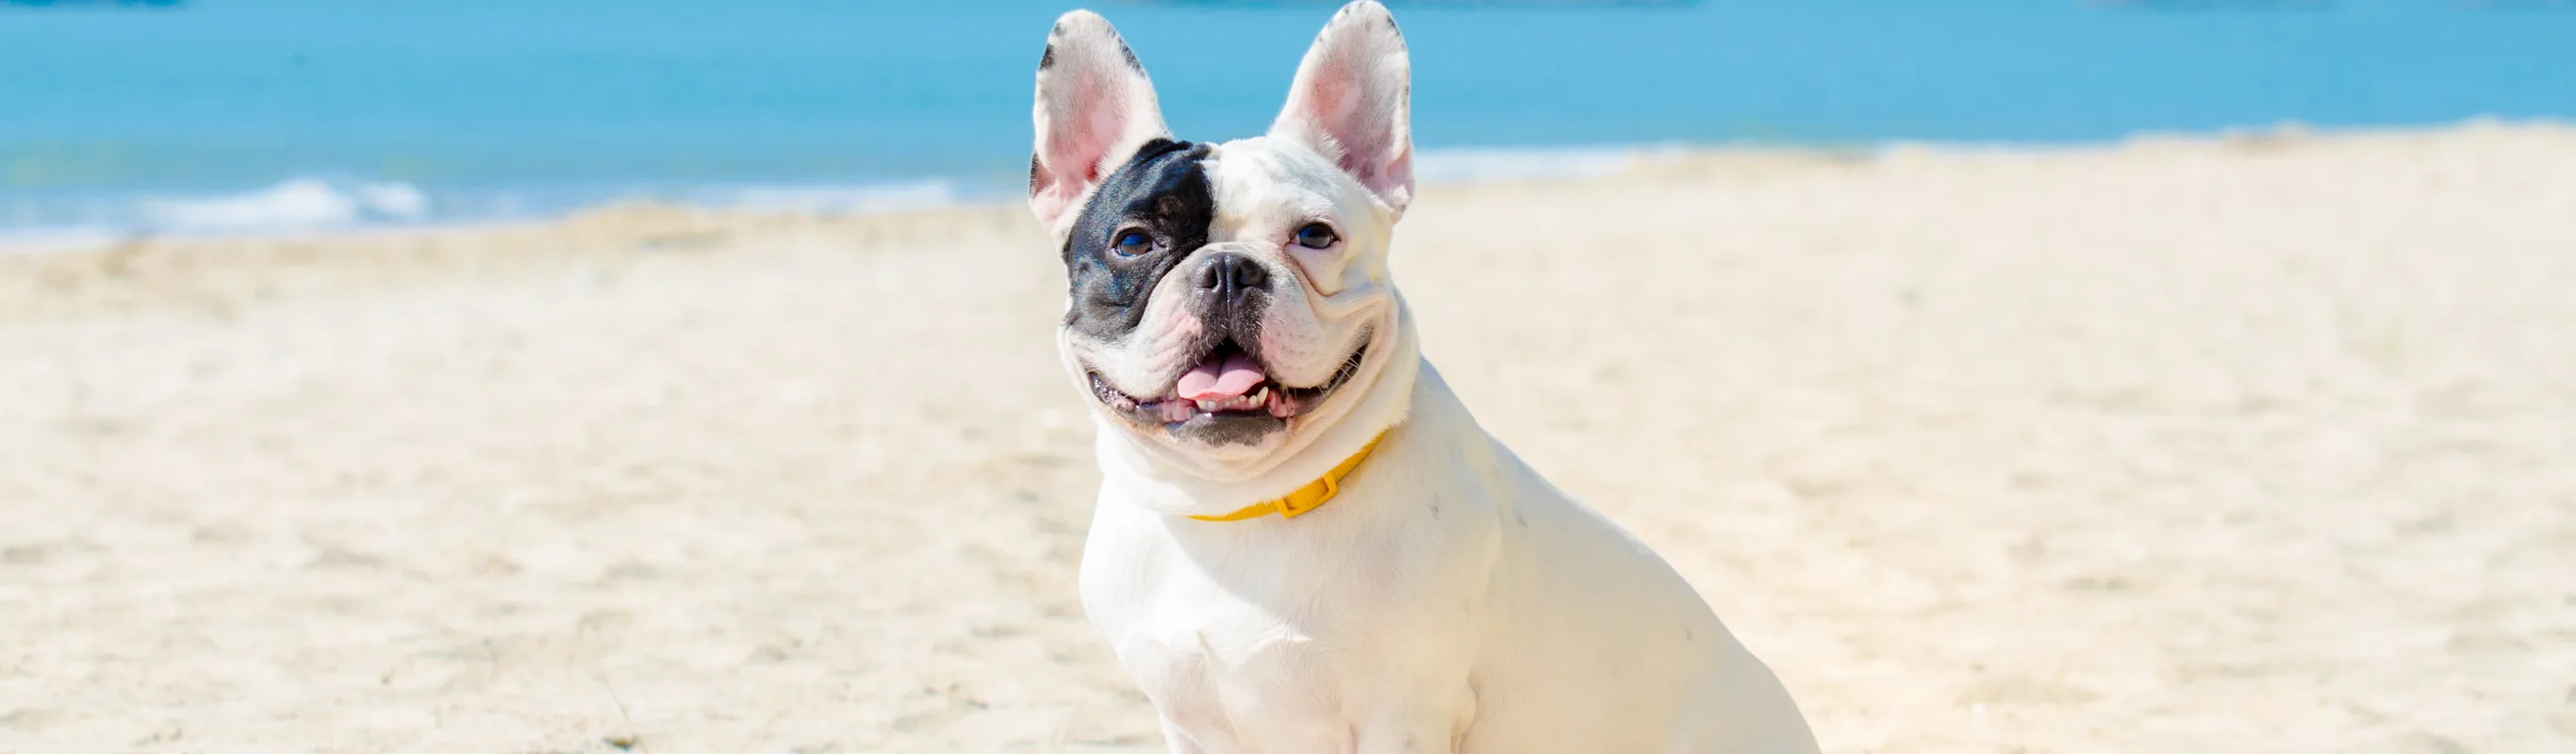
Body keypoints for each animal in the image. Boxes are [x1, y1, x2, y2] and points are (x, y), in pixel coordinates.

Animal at [1019, 3, 1813, 746]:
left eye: (1315, 236)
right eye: (1133, 242)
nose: (1228, 269)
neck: (1240, 505)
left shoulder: (1400, 715)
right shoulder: (1188, 721)